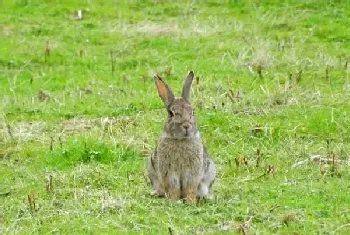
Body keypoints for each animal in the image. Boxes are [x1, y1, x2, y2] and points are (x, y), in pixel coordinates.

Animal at [146, 70, 216, 204]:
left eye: (192, 111)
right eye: (171, 113)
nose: (186, 125)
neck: (181, 140)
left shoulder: (192, 173)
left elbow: (190, 187)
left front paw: (190, 202)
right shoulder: (169, 173)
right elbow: (173, 188)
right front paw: (173, 201)